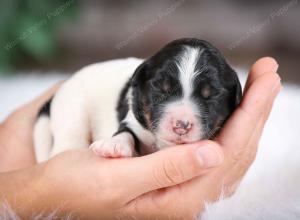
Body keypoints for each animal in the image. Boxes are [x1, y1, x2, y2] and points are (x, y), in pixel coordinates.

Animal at [34, 37, 243, 162]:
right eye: (160, 87)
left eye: (212, 94)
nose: (181, 125)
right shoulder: (133, 122)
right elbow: (126, 133)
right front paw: (113, 145)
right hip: (72, 112)